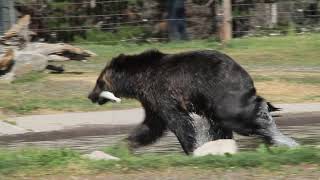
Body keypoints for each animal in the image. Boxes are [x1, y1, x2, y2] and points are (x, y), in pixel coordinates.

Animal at [87, 49, 298, 155]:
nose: (90, 95)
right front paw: (122, 145)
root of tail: (244, 73)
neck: (137, 80)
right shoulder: (151, 101)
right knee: (222, 124)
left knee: (239, 116)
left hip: (221, 91)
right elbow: (151, 126)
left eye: (98, 82)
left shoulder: (163, 91)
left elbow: (178, 122)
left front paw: (191, 148)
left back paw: (275, 133)